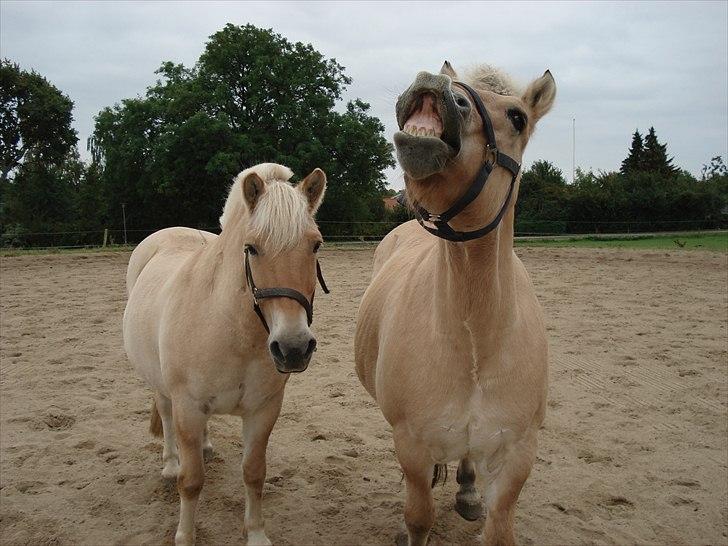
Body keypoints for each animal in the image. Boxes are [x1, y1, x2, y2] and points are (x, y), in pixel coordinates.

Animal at [123, 163, 328, 544]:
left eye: (316, 245)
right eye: (252, 248)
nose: (293, 347)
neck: (233, 331)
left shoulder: (263, 411)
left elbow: (254, 473)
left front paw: (257, 534)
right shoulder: (188, 407)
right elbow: (191, 482)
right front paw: (185, 537)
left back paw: (204, 447)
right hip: (162, 388)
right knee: (166, 417)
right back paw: (170, 465)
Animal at [356, 61, 556, 540]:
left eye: (518, 117)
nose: (433, 83)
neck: (475, 340)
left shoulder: (517, 455)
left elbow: (499, 528)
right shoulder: (411, 442)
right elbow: (419, 517)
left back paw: (466, 491)